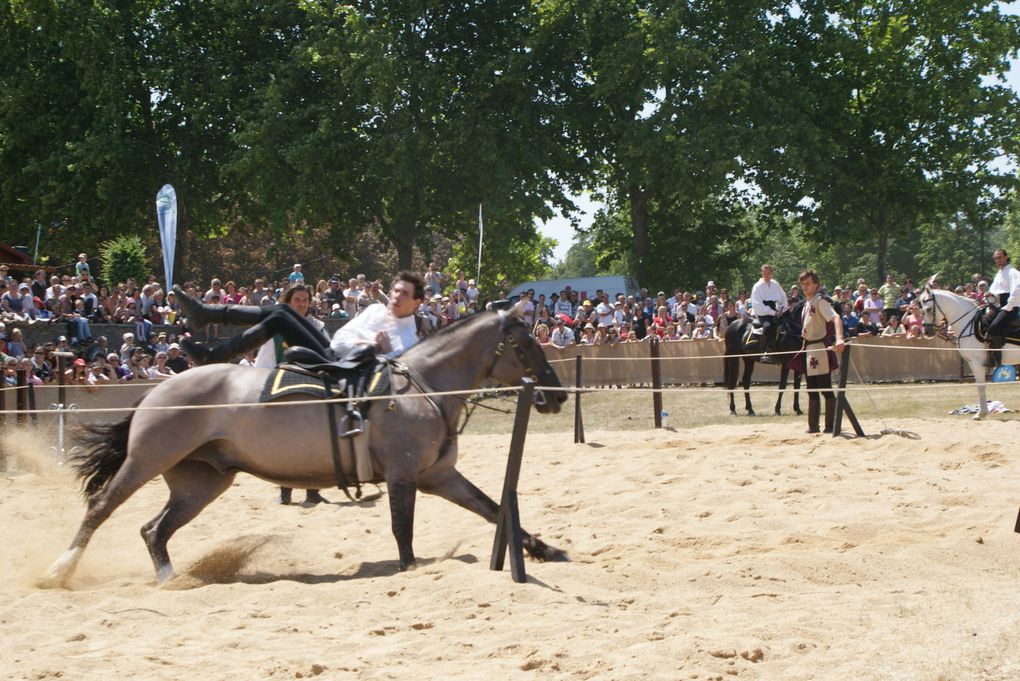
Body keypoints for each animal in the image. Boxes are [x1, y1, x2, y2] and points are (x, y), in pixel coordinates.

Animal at [39, 303, 567, 587]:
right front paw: (408, 570)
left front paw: (546, 550)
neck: (420, 389)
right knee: (101, 509)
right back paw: (57, 570)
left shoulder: (439, 477)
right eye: (525, 346)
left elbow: (493, 508)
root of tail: (157, 389)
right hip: (146, 460)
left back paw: (175, 580)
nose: (557, 395)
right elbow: (404, 533)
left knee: (154, 530)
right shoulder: (403, 479)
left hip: (199, 483)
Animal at [918, 277, 1020, 420]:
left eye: (928, 309)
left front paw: (981, 413)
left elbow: (981, 386)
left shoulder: (978, 362)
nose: (927, 331)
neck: (969, 323)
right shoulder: (971, 362)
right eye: (921, 308)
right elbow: (978, 385)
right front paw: (981, 412)